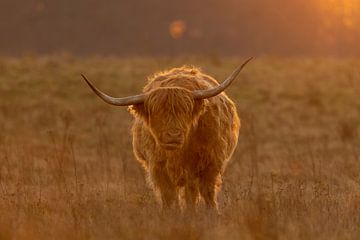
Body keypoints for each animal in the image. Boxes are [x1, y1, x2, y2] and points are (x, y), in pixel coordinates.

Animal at [81, 58, 252, 212]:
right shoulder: (158, 168)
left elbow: (194, 194)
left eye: (185, 111)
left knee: (204, 192)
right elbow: (168, 196)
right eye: (157, 113)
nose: (173, 136)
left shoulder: (200, 165)